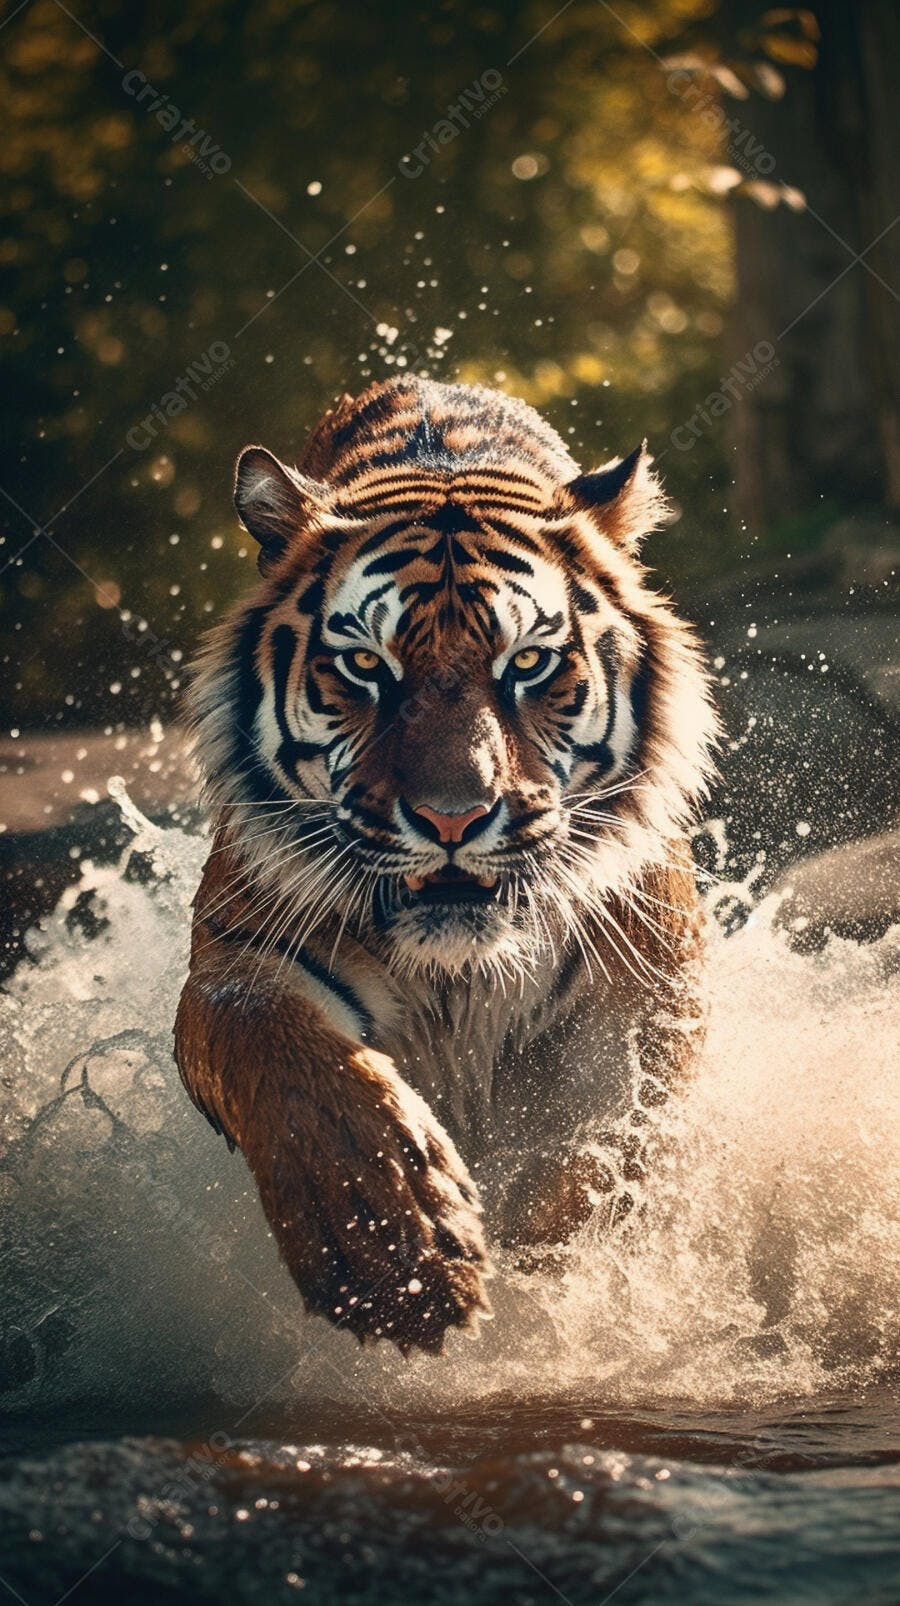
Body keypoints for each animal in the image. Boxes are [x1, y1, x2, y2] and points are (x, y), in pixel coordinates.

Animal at [174, 376, 717, 1354]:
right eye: (364, 665)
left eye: (528, 662)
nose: (453, 817)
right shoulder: (240, 951)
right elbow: (271, 1039)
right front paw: (393, 1252)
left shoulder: (646, 983)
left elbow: (606, 1144)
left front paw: (545, 1272)